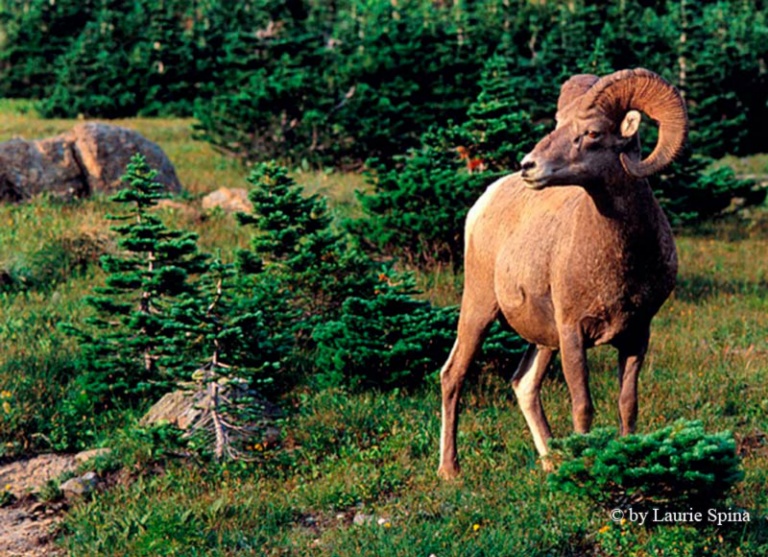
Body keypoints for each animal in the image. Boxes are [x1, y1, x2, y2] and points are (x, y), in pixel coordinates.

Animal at [437, 68, 688, 478]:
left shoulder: (637, 336)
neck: (620, 259)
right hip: (478, 310)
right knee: (453, 375)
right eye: (557, 124)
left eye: (592, 132)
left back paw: (551, 464)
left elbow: (628, 406)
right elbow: (583, 407)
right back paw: (450, 470)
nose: (529, 166)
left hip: (543, 338)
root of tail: (484, 200)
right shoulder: (573, 333)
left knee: (523, 384)